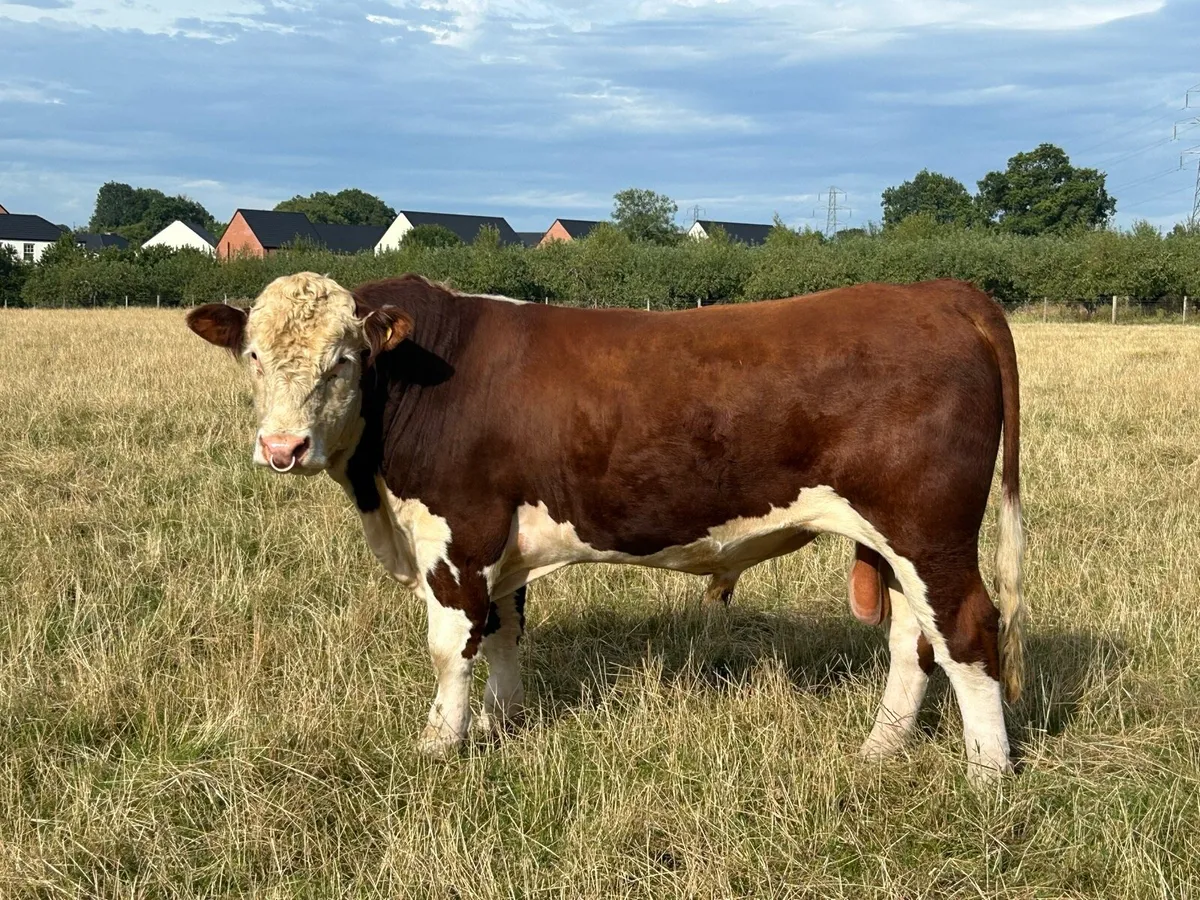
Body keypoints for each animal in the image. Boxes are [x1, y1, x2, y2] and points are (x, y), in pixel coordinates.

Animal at [186, 273, 1026, 785]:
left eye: (344, 360)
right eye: (252, 355)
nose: (282, 448)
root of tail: (940, 292)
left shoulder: (460, 531)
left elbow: (450, 647)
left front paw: (439, 746)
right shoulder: (504, 542)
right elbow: (504, 631)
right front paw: (501, 726)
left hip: (929, 529)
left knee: (967, 632)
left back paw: (986, 776)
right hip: (897, 542)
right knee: (913, 640)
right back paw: (879, 750)